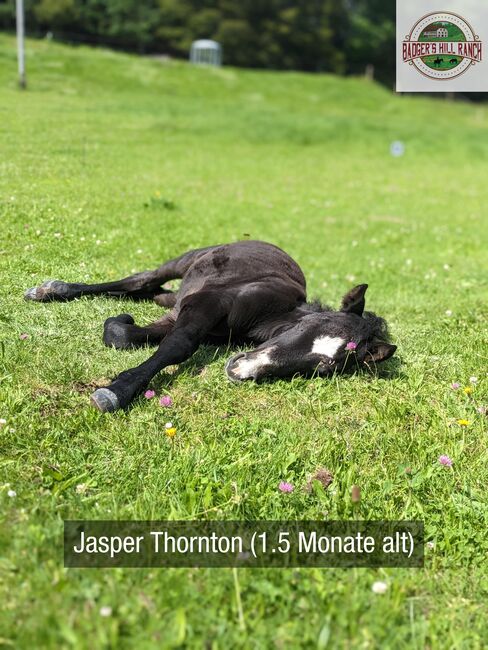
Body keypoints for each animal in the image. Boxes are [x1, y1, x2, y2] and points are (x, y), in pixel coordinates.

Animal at [23, 238, 396, 410]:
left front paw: (119, 322)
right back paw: (49, 290)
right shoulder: (206, 304)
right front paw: (115, 392)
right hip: (187, 259)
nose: (241, 370)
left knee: (152, 292)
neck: (272, 313)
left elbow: (123, 334)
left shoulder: (187, 316)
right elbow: (178, 345)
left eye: (325, 368)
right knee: (142, 279)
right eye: (310, 327)